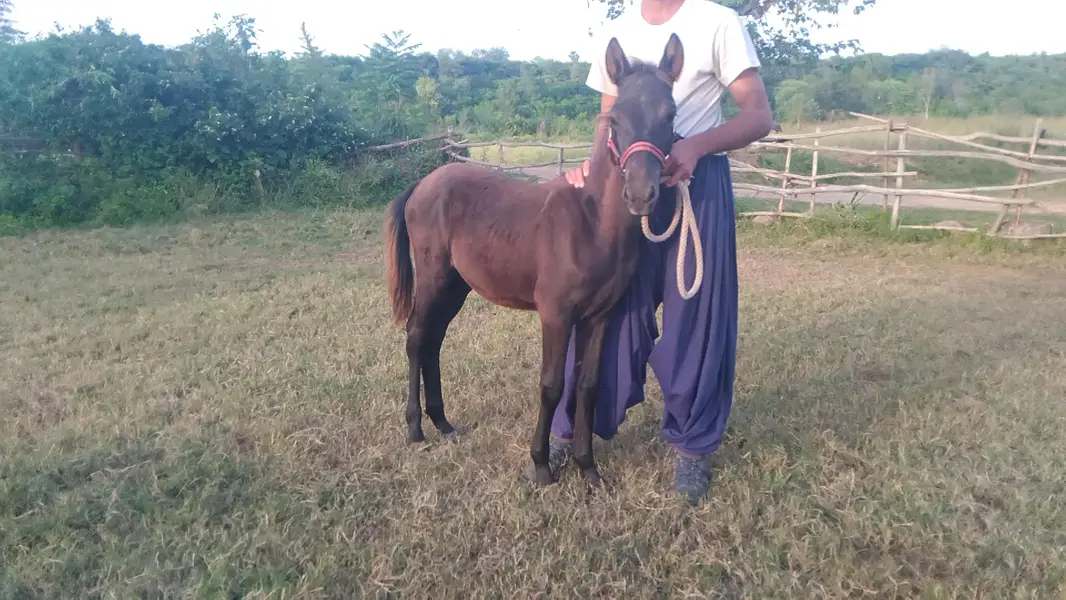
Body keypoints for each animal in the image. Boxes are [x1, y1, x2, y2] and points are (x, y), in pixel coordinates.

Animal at [383, 34, 685, 488]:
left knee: (434, 338)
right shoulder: (556, 314)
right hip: (434, 276)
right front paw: (541, 465)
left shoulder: (600, 316)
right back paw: (416, 428)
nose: (640, 194)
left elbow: (588, 385)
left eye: (670, 114)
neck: (591, 225)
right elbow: (551, 385)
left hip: (456, 284)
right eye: (614, 119)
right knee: (417, 336)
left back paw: (443, 423)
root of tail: (422, 184)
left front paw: (588, 467)